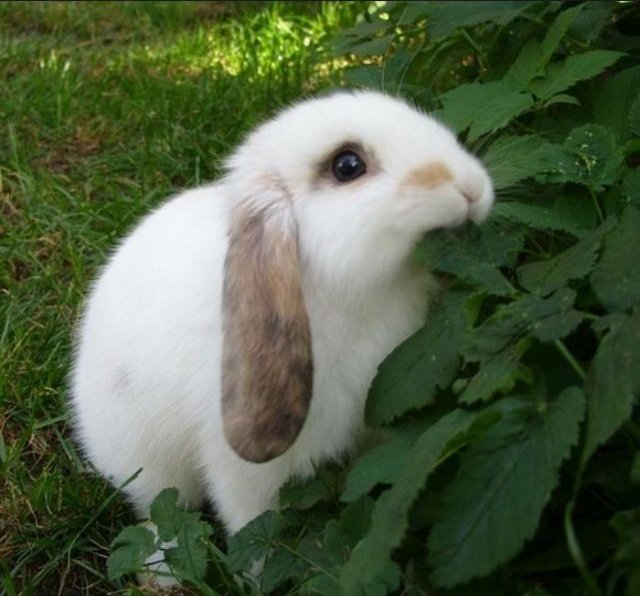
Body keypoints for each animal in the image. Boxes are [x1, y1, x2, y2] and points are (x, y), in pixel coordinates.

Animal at [70, 90, 493, 580]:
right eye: (347, 165)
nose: (471, 188)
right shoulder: (243, 471)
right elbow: (253, 529)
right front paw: (258, 578)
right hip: (149, 464)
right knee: (161, 513)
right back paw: (163, 575)